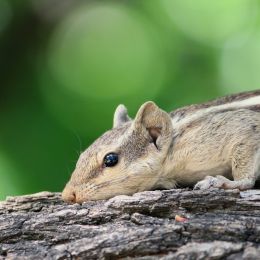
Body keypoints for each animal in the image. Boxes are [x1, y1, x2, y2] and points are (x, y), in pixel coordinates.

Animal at [62, 90, 260, 203]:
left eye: (110, 159)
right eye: (81, 157)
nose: (67, 195)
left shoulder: (239, 127)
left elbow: (246, 178)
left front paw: (225, 182)